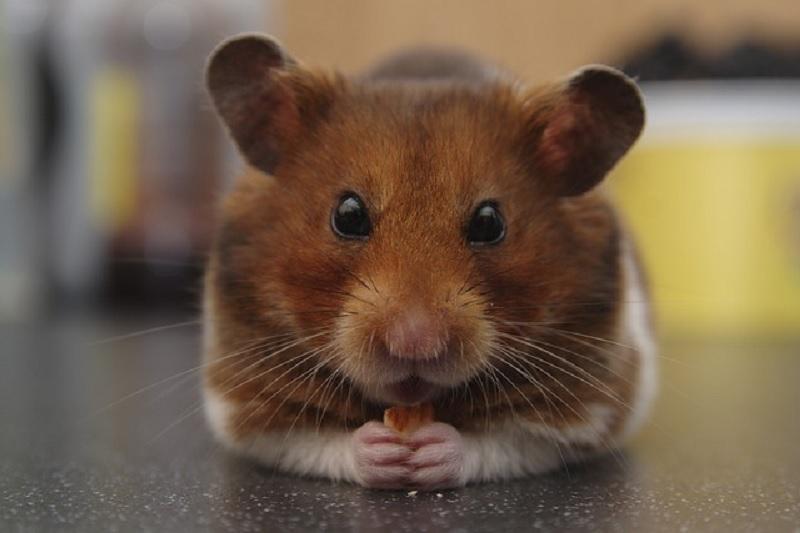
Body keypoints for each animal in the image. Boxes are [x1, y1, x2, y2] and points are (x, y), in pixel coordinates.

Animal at [201, 33, 657, 490]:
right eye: (347, 215)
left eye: (490, 222)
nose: (414, 343)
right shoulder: (243, 404)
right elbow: (315, 441)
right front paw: (383, 451)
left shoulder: (590, 408)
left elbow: (502, 442)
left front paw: (430, 451)